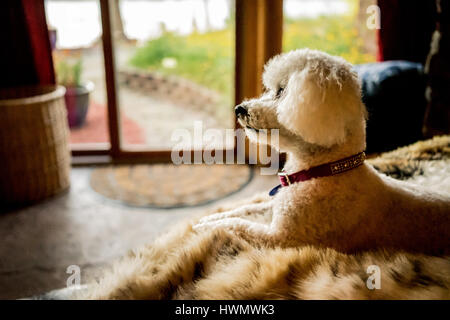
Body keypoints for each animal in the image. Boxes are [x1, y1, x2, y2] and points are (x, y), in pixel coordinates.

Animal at [195, 48, 450, 255]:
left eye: (281, 91)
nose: (239, 109)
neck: (326, 169)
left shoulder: (282, 238)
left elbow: (238, 224)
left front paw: (206, 227)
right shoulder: (275, 206)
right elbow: (245, 209)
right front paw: (208, 218)